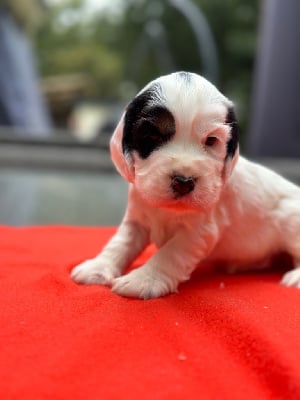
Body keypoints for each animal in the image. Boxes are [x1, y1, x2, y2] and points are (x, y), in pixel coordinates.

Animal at [71, 71, 300, 296]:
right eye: (152, 135)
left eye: (211, 140)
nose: (184, 182)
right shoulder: (136, 219)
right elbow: (121, 242)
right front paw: (98, 267)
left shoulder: (198, 231)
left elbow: (170, 253)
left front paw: (143, 280)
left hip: (291, 223)